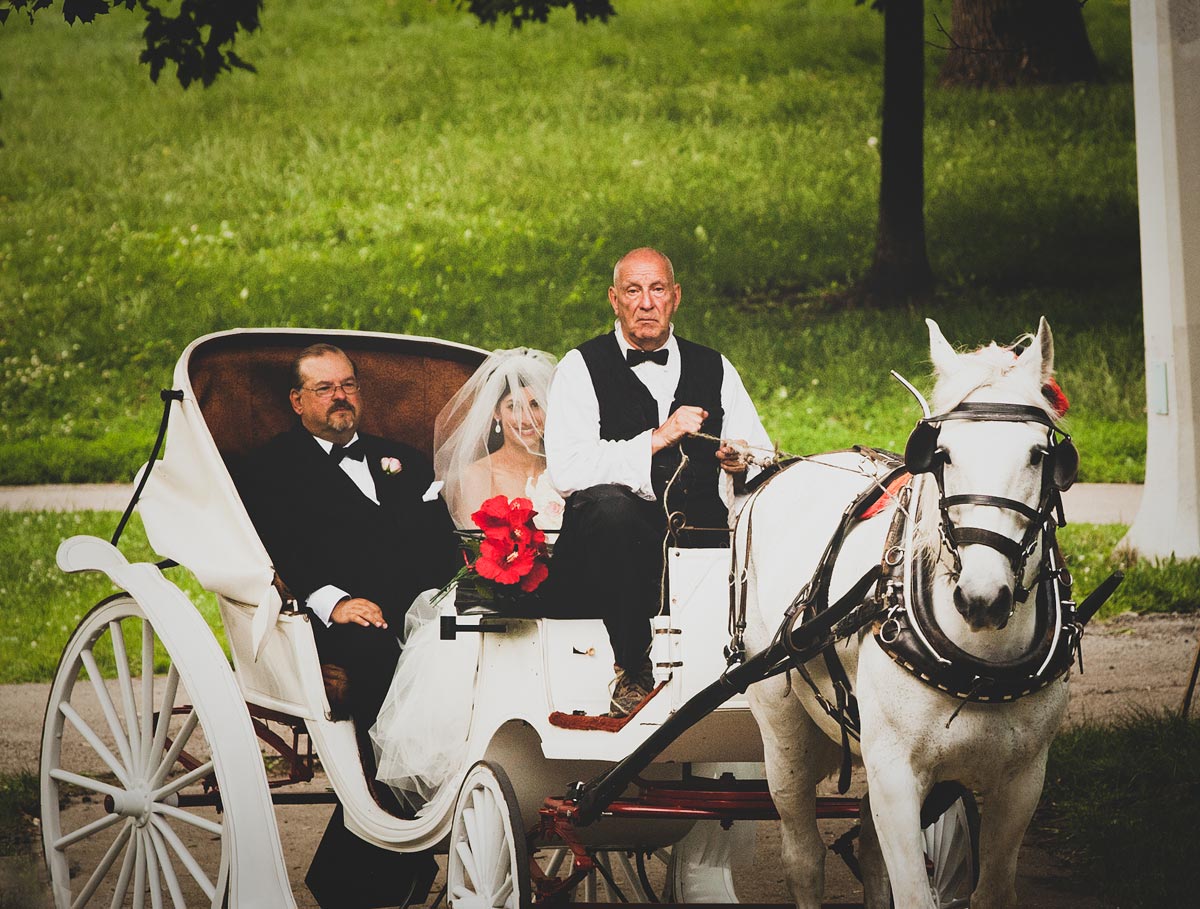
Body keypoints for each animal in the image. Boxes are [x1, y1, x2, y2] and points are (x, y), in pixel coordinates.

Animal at [744, 316, 1075, 906]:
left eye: (1040, 455)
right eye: (942, 454)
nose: (982, 598)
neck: (980, 664)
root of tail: (783, 469)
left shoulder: (1022, 782)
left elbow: (989, 889)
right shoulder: (896, 776)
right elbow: (914, 892)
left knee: (870, 856)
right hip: (782, 730)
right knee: (802, 855)